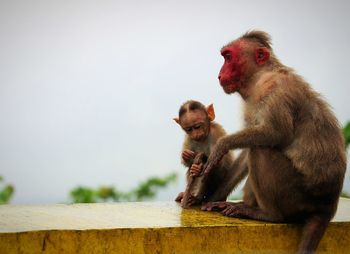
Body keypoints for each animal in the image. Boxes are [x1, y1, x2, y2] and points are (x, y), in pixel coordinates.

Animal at [201, 30, 346, 254]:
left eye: (228, 57)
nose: (219, 74)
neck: (258, 78)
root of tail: (327, 207)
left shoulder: (276, 89)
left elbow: (276, 134)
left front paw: (222, 145)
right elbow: (247, 151)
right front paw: (214, 197)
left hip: (297, 196)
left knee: (261, 150)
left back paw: (268, 214)